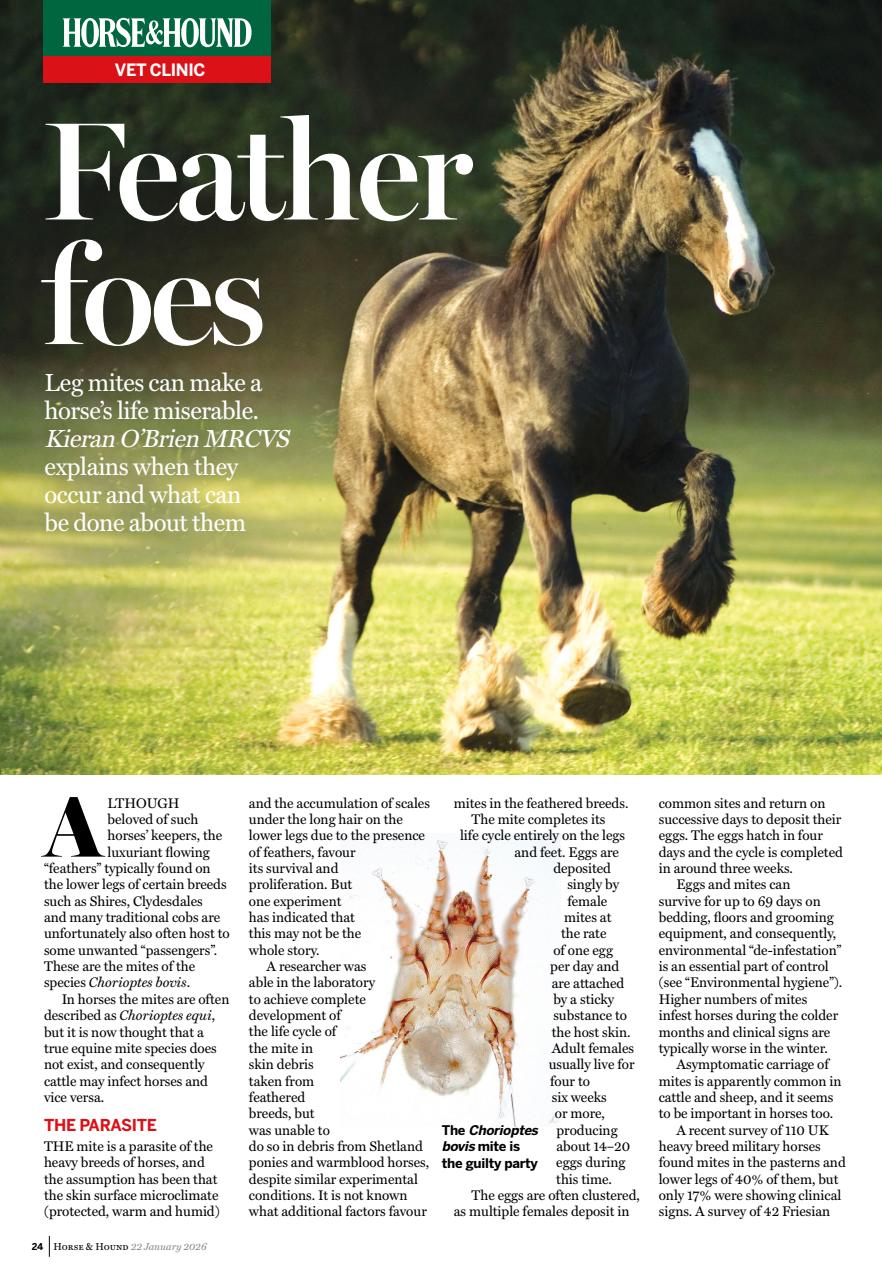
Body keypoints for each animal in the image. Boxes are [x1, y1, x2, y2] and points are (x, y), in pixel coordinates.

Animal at [280, 30, 773, 754]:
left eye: (734, 159)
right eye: (683, 165)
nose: (747, 279)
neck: (600, 326)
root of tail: (397, 287)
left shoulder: (638, 468)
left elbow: (714, 472)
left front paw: (679, 600)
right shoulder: (544, 469)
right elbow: (561, 566)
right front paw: (590, 681)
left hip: (493, 510)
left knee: (473, 602)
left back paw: (484, 717)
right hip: (373, 487)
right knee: (353, 589)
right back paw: (336, 713)